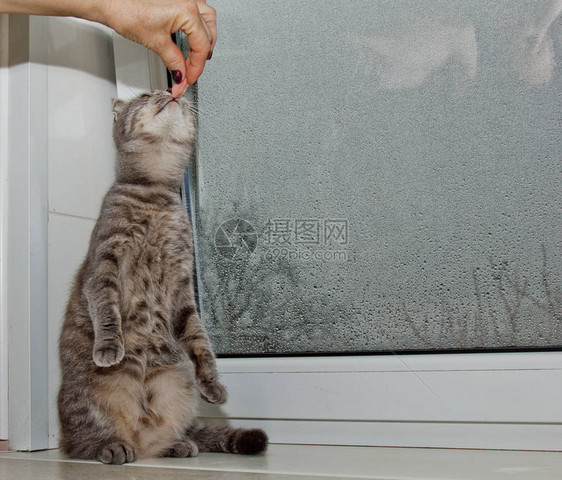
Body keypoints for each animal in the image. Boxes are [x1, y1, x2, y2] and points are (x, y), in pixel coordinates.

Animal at [58, 91, 268, 464]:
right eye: (144, 96)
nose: (168, 91)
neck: (154, 194)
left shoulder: (182, 282)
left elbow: (199, 339)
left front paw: (212, 383)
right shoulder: (104, 264)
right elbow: (106, 310)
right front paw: (109, 346)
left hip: (176, 388)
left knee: (157, 439)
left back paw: (176, 444)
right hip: (85, 400)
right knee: (83, 442)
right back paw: (111, 446)